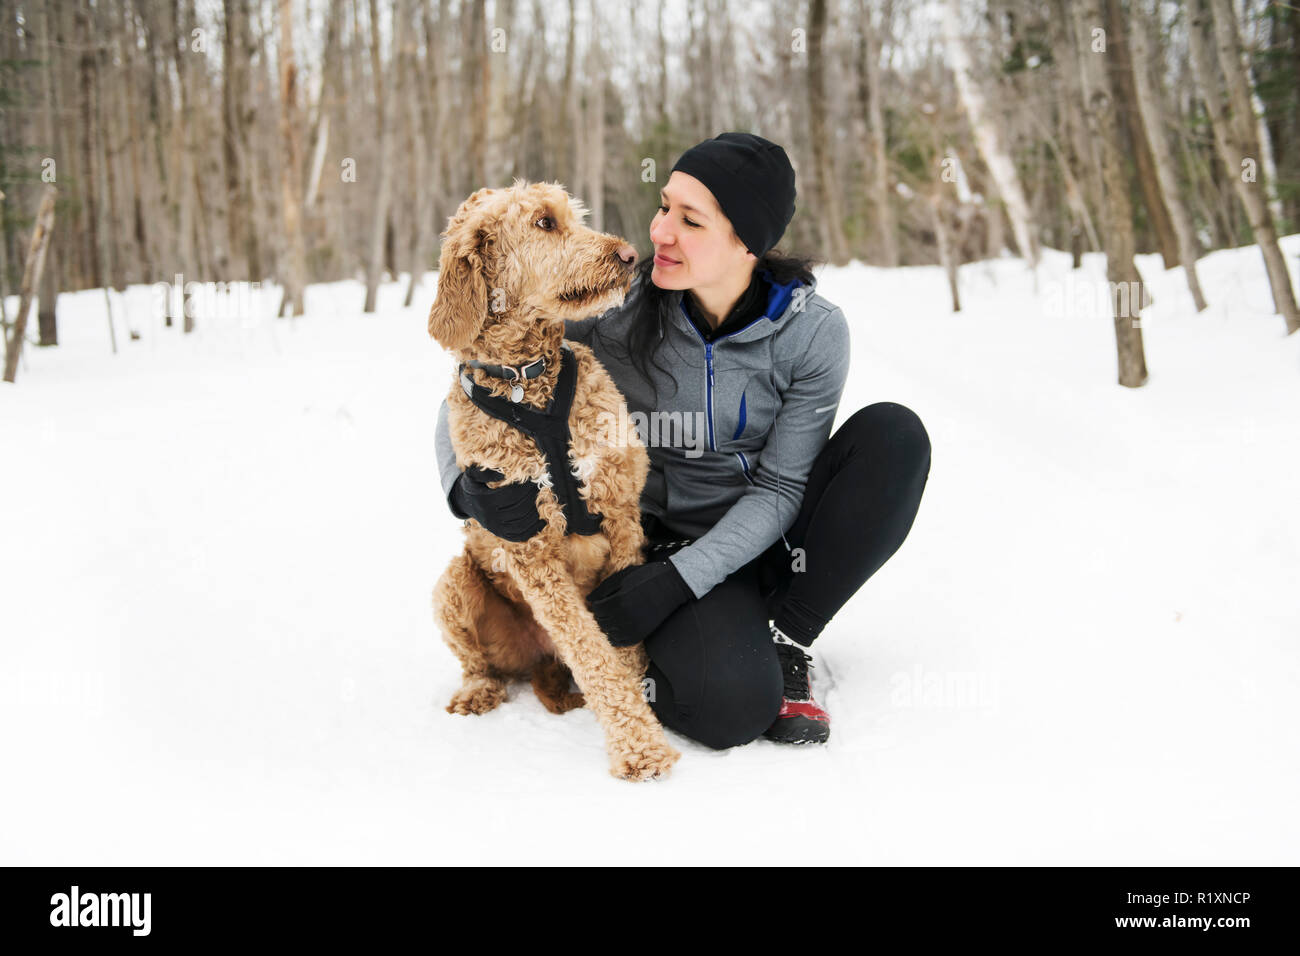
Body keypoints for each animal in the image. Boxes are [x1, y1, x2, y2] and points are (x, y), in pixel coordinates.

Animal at [431, 180, 686, 785]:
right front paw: (641, 749)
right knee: (482, 665)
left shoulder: (620, 516)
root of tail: (539, 659)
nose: (629, 255)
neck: (527, 384)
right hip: (454, 585)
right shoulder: (531, 549)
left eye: (574, 215)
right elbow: (591, 651)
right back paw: (477, 692)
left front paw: (642, 725)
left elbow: (624, 642)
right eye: (544, 223)